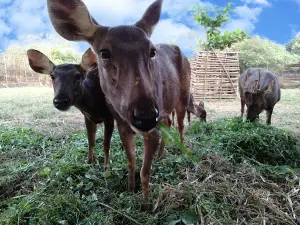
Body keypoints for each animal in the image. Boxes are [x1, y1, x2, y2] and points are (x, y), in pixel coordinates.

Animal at [45, 0, 191, 209]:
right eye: (104, 52)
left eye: (152, 51)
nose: (144, 117)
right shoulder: (121, 123)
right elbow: (131, 160)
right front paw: (130, 187)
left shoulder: (151, 128)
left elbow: (145, 172)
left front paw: (146, 205)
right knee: (169, 124)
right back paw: (162, 155)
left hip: (183, 95)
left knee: (180, 124)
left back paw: (181, 151)